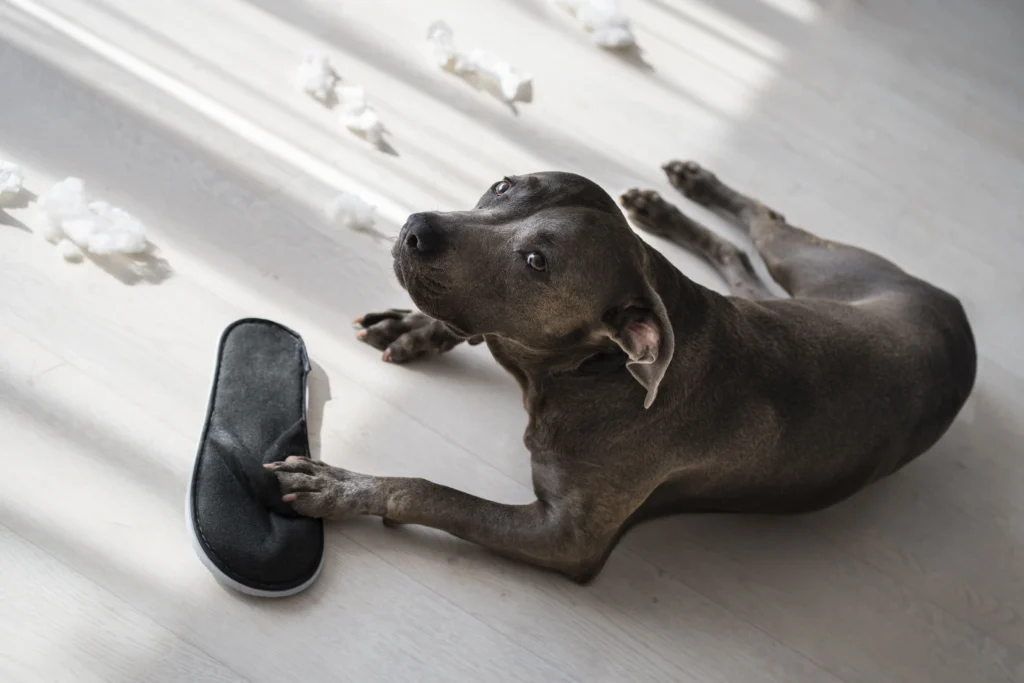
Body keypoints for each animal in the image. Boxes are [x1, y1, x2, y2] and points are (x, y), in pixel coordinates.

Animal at [266, 161, 974, 581]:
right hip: (794, 291)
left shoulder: (565, 539)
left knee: (767, 225)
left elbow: (430, 492)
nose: (416, 227)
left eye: (537, 262)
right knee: (741, 252)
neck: (589, 371)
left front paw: (344, 487)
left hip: (821, 267)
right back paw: (677, 203)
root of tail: (957, 315)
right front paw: (419, 328)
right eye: (503, 186)